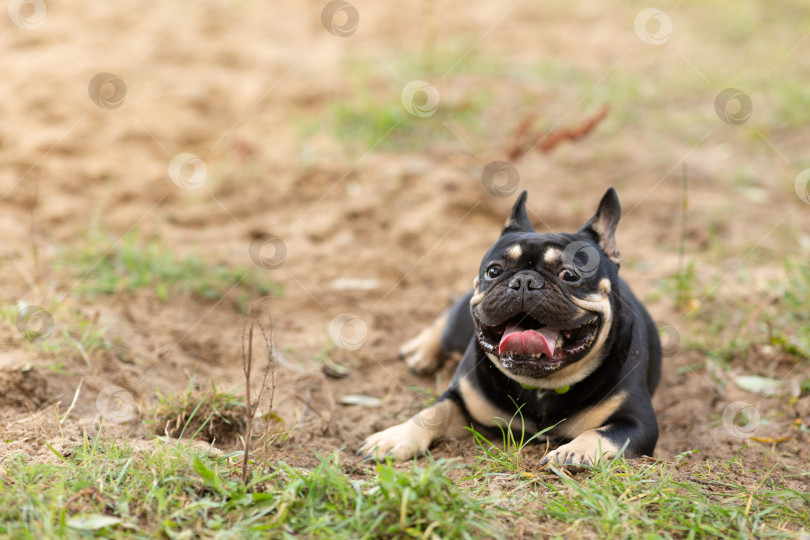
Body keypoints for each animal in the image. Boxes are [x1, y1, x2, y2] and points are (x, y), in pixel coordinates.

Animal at [356, 189, 660, 464]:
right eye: (494, 271)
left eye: (570, 275)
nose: (525, 280)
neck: (542, 386)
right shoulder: (462, 397)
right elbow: (433, 411)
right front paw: (395, 436)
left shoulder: (638, 422)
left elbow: (602, 434)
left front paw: (572, 451)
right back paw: (422, 350)